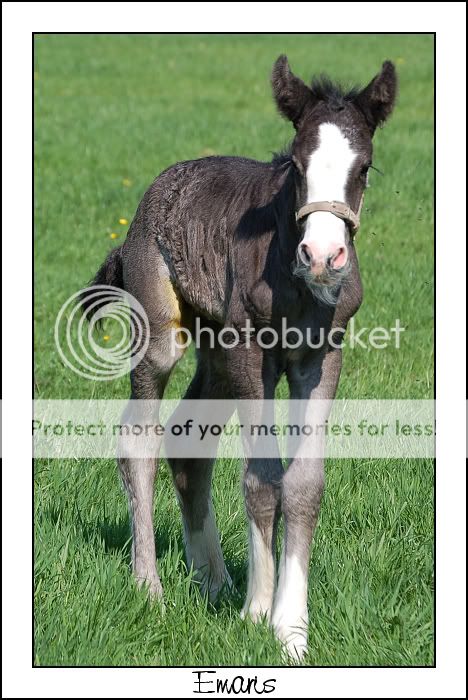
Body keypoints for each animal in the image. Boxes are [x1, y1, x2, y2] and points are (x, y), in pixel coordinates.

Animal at [83, 57, 394, 660]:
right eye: (296, 162)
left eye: (365, 167)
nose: (323, 256)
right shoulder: (252, 350)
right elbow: (261, 478)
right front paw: (257, 612)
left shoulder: (322, 355)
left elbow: (303, 483)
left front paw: (292, 629)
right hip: (167, 334)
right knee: (139, 439)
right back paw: (150, 587)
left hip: (217, 352)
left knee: (187, 442)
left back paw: (213, 580)